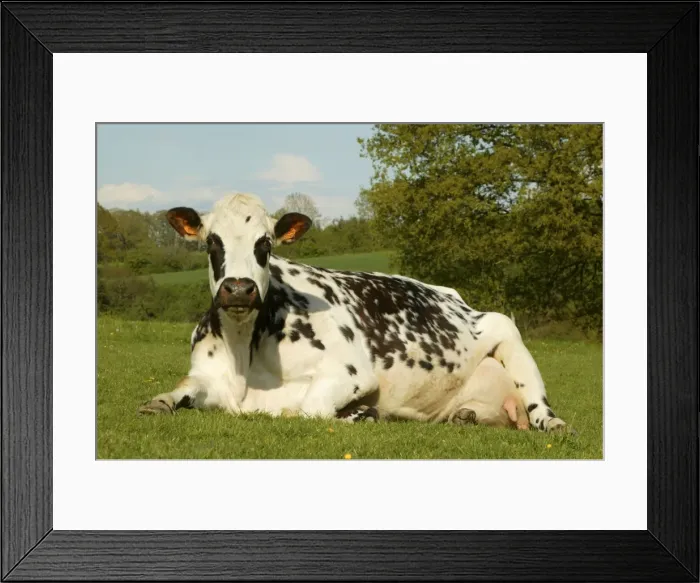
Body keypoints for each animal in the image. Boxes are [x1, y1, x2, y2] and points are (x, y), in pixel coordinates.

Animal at [138, 193, 568, 433]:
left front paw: (360, 415)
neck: (244, 353)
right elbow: (179, 389)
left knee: (537, 402)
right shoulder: (208, 377)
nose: (239, 288)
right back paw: (466, 418)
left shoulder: (350, 373)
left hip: (507, 330)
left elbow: (308, 410)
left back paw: (553, 423)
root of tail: (457, 297)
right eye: (212, 242)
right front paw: (157, 403)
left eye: (266, 243)